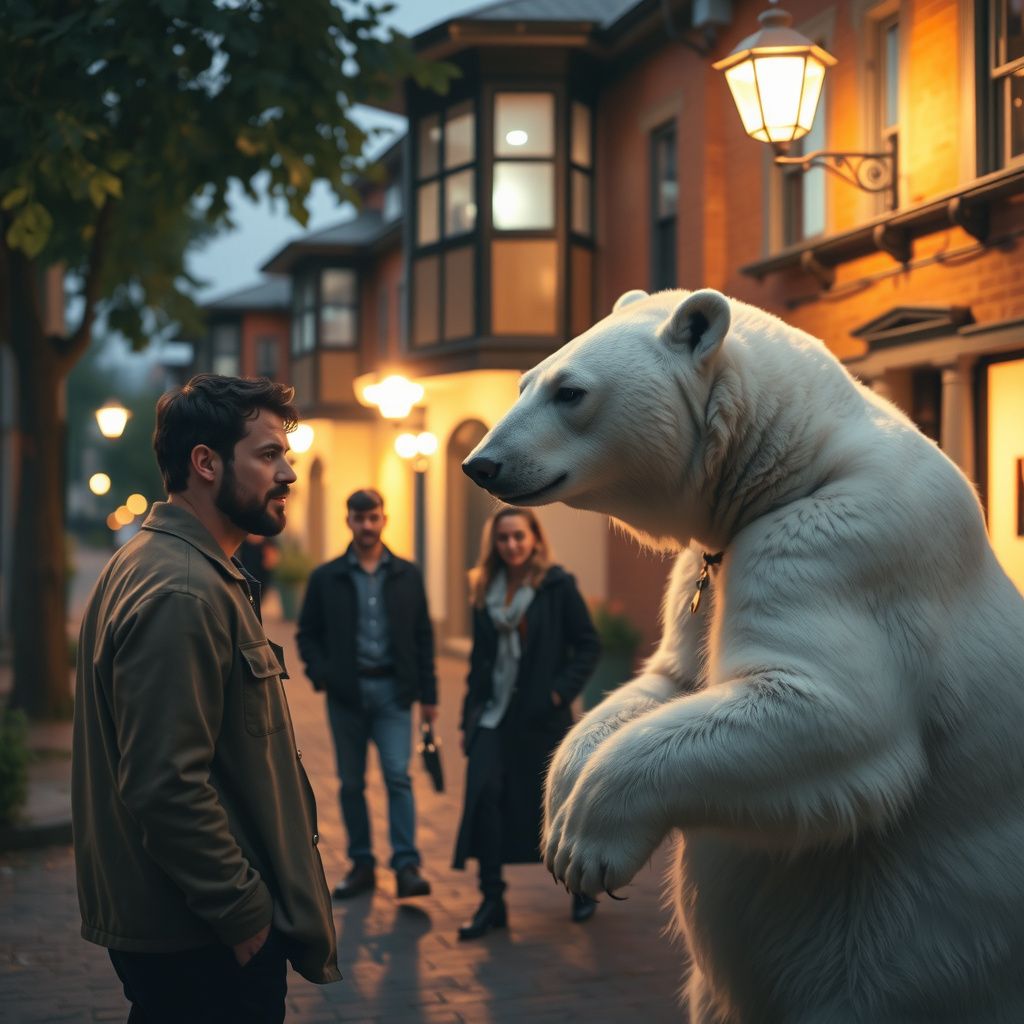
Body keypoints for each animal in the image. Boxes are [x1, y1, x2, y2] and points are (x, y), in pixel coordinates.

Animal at [462, 287, 1024, 1023]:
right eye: (526, 382)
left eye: (570, 391)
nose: (480, 464)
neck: (800, 461)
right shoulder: (708, 565)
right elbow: (670, 678)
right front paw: (557, 809)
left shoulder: (849, 549)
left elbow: (825, 704)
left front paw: (585, 845)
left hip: (910, 968)